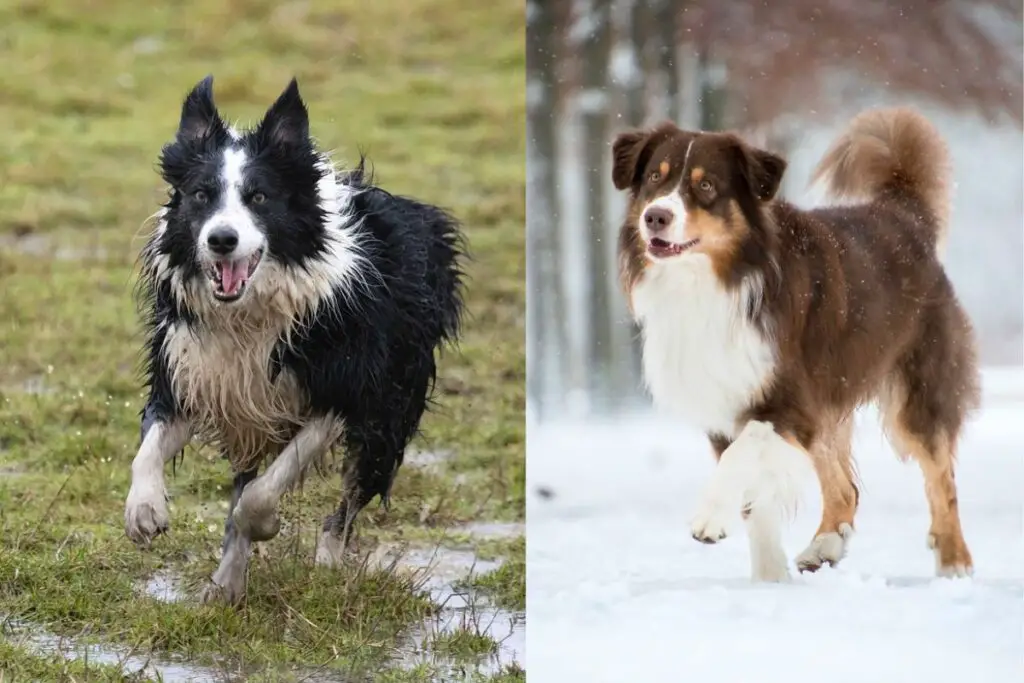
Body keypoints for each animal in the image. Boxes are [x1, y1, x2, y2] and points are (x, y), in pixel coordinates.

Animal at [120, 77, 468, 606]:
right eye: (201, 195)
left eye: (260, 198)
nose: (221, 239)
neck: (249, 314)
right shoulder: (192, 374)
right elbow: (151, 446)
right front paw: (145, 510)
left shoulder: (344, 390)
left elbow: (262, 493)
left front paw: (264, 525)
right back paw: (227, 584)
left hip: (391, 408)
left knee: (347, 499)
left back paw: (325, 563)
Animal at [610, 111, 978, 581]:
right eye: (655, 178)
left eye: (706, 185)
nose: (655, 217)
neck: (714, 282)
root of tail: (902, 213)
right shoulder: (725, 399)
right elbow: (757, 504)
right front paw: (769, 582)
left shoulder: (788, 399)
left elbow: (743, 455)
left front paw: (710, 517)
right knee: (845, 489)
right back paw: (825, 546)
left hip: (915, 389)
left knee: (940, 475)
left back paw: (954, 562)